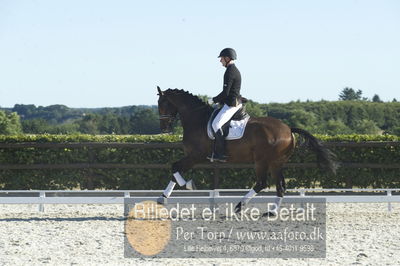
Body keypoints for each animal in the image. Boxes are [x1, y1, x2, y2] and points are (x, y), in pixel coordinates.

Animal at [156, 86, 338, 215]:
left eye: (162, 104)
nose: (164, 129)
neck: (197, 119)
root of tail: (288, 129)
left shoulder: (195, 156)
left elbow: (175, 168)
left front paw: (187, 185)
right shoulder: (191, 157)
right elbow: (174, 171)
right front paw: (162, 198)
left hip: (262, 161)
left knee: (262, 183)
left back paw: (239, 206)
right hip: (276, 163)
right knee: (280, 186)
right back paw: (271, 212)